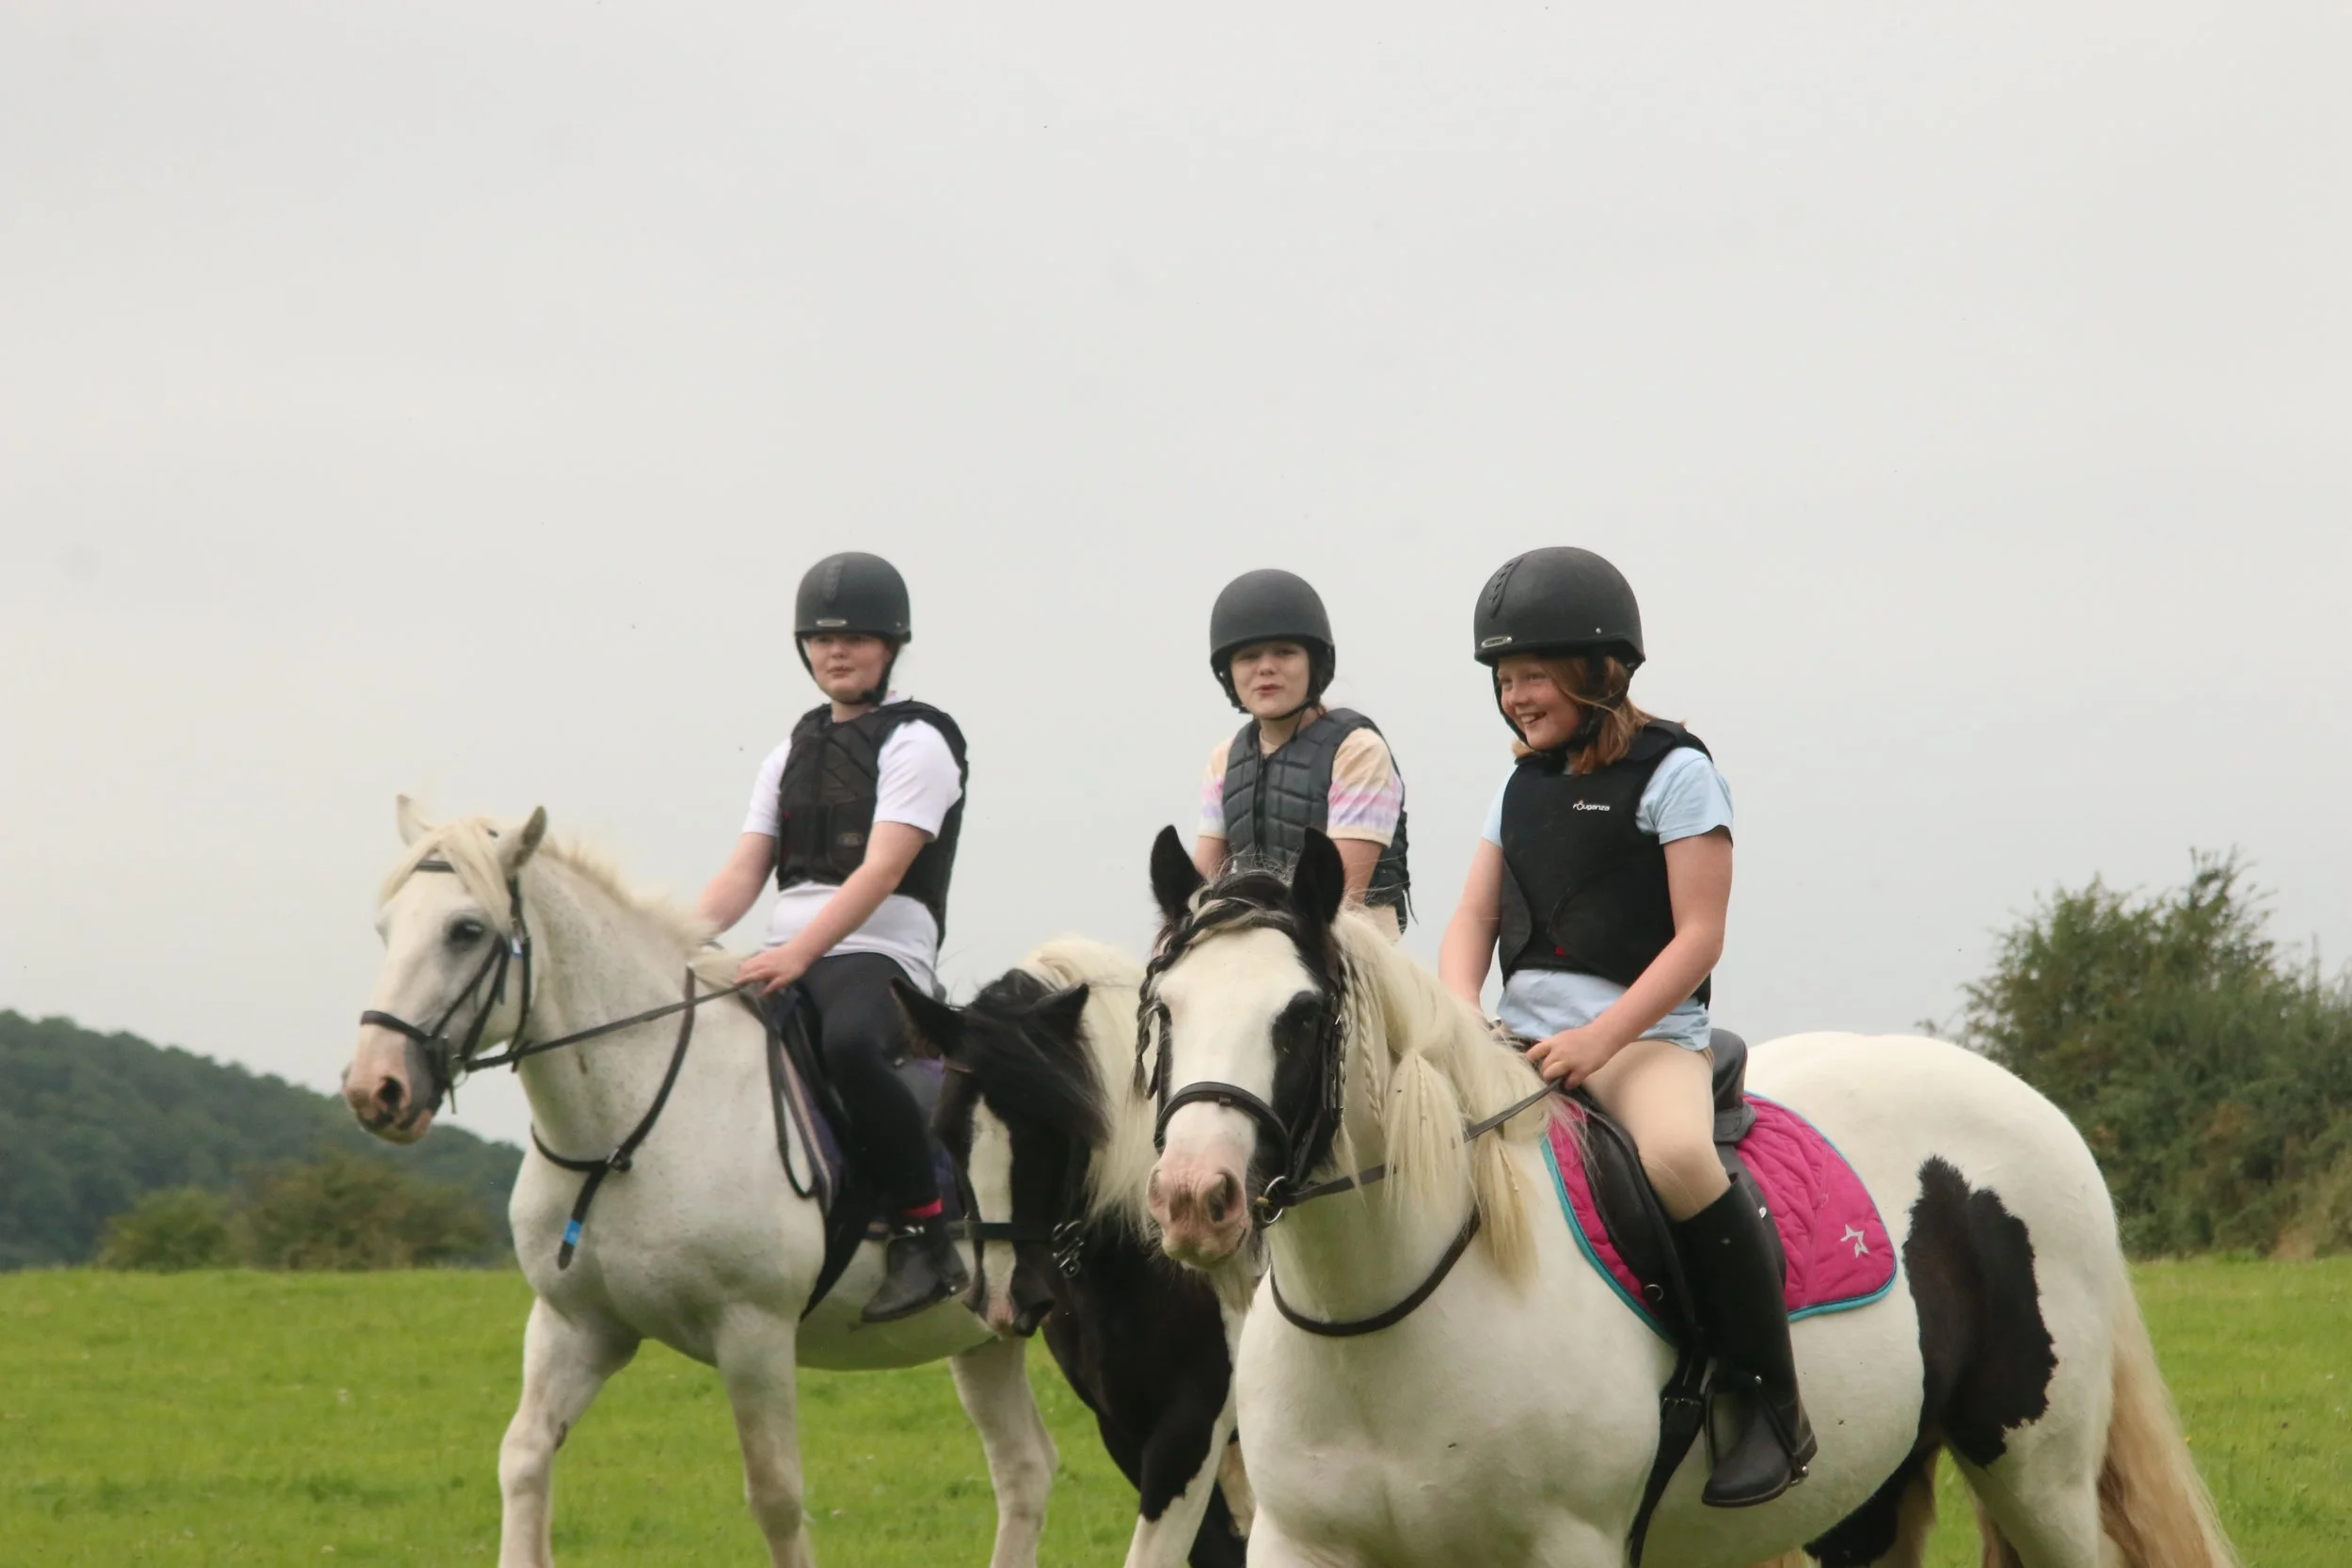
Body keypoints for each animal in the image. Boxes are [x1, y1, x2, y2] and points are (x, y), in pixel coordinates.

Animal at [343, 799, 1058, 1568]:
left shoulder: (753, 1333)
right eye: (386, 928)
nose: (374, 1089)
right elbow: (524, 1458)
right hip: (989, 1338)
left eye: (466, 930)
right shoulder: (575, 1325)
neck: (627, 1132)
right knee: (1026, 1469)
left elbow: (776, 1498)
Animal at [1137, 828, 2238, 1568]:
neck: (1388, 1317)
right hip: (1876, 1491)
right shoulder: (1305, 1544)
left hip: (2037, 1471)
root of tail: (2032, 1105)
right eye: (1163, 1007)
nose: (1195, 1196)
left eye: (1301, 1014)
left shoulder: (1566, 1546)